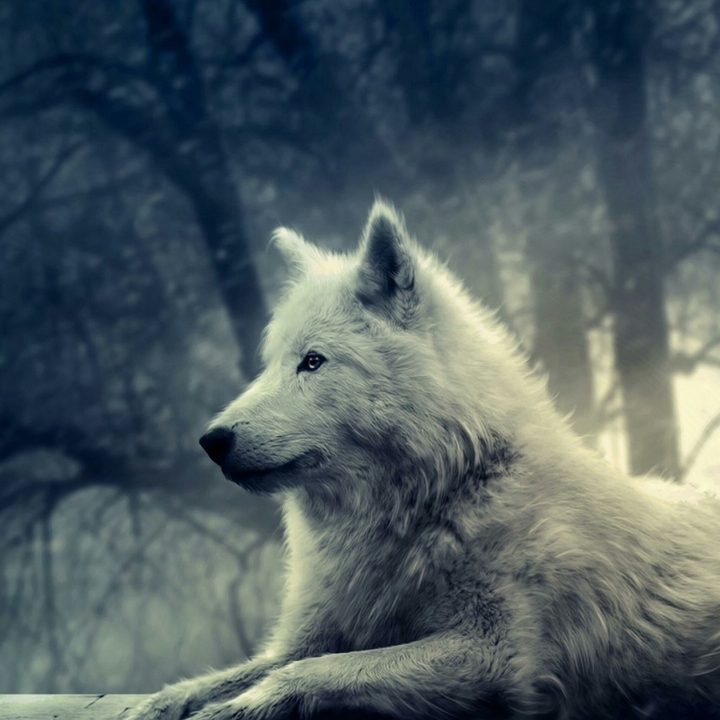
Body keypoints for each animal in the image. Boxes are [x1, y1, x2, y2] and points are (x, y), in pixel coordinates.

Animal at [129, 201, 720, 720]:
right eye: (270, 364)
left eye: (313, 361)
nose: (211, 440)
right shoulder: (309, 635)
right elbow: (240, 672)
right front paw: (160, 703)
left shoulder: (494, 655)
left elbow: (315, 670)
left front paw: (238, 707)